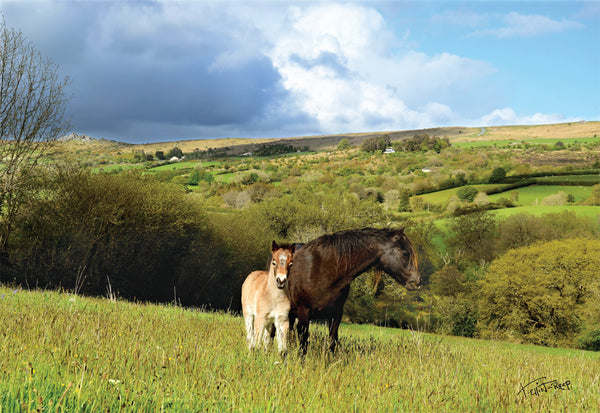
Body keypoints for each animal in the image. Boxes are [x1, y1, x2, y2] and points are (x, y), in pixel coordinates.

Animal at [288, 227, 420, 352]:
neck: (321, 269)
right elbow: (303, 346)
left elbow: (332, 342)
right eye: (405, 252)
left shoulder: (336, 314)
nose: (417, 281)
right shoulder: (304, 314)